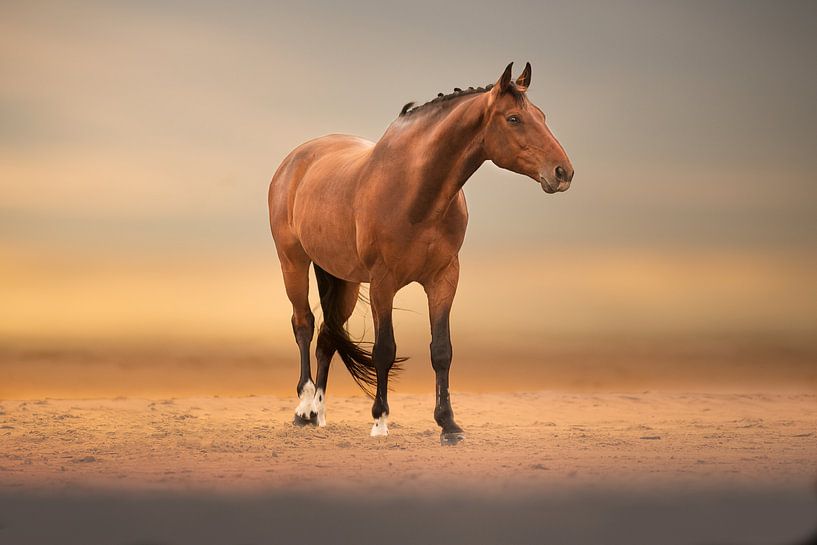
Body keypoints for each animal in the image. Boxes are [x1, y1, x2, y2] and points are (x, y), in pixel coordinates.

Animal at [268, 62, 573, 445]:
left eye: (542, 115)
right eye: (514, 118)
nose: (563, 172)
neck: (415, 191)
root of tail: (295, 160)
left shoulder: (443, 279)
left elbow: (442, 350)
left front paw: (449, 425)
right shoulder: (383, 283)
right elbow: (385, 349)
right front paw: (380, 420)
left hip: (343, 279)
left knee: (327, 335)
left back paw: (317, 413)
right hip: (292, 262)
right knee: (304, 325)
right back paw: (303, 407)